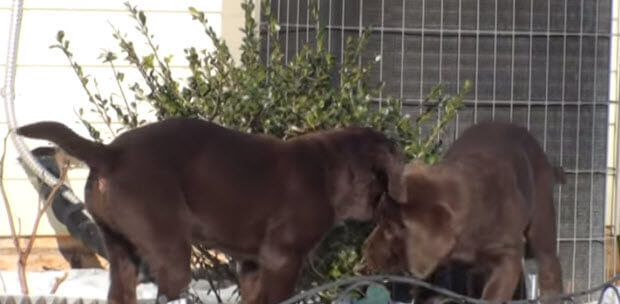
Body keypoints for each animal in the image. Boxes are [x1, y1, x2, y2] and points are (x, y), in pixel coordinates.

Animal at [17, 118, 406, 304]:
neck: (331, 171)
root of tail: (110, 153)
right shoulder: (282, 258)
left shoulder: (251, 265)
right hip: (170, 248)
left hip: (120, 251)